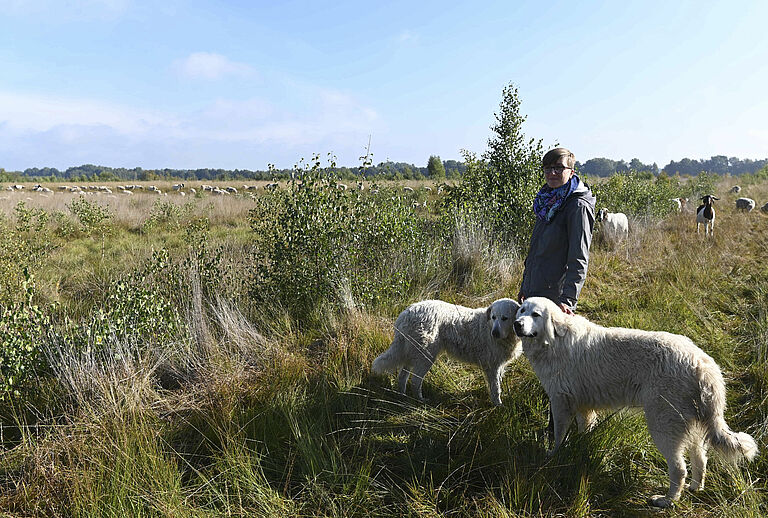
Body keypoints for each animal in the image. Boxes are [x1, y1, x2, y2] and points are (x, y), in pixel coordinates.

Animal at [370, 298, 520, 408]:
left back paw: (402, 397)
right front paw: (498, 405)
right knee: (415, 381)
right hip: (425, 356)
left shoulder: (498, 366)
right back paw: (420, 400)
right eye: (494, 317)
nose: (494, 333)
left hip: (412, 353)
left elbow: (497, 383)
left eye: (504, 318)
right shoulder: (492, 366)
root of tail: (406, 314)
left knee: (402, 377)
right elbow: (496, 388)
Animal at [512, 298, 760, 510]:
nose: (517, 324)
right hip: (689, 426)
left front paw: (552, 457)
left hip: (662, 425)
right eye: (521, 310)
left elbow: (558, 435)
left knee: (679, 469)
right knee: (700, 458)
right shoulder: (583, 406)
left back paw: (667, 500)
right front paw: (579, 448)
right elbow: (584, 431)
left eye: (535, 314)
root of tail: (702, 362)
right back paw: (695, 487)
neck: (554, 341)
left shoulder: (561, 402)